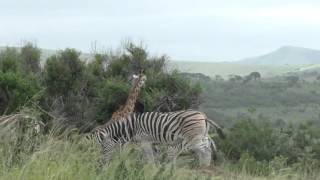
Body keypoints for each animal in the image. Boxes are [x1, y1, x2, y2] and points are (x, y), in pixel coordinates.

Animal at [85, 109, 225, 167]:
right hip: (202, 135)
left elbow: (149, 158)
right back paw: (203, 166)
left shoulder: (145, 141)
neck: (130, 127)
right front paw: (156, 169)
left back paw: (205, 167)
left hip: (194, 138)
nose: (101, 164)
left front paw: (149, 170)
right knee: (207, 147)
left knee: (206, 149)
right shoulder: (153, 143)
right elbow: (154, 157)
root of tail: (203, 115)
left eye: (103, 147)